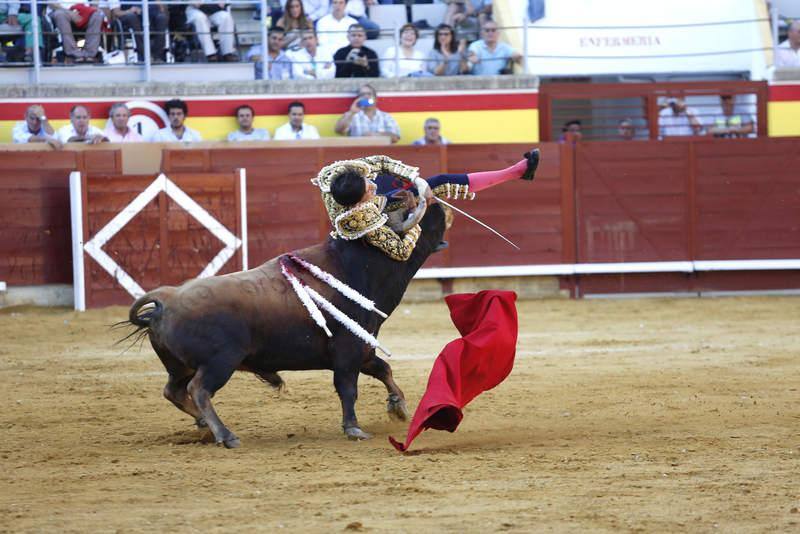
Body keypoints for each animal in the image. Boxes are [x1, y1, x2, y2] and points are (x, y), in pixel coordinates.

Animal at [128, 203, 446, 450]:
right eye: (413, 215)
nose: (439, 207)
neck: (357, 267)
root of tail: (166, 301)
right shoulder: (348, 351)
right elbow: (348, 388)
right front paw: (354, 428)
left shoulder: (363, 348)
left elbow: (384, 370)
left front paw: (398, 407)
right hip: (220, 362)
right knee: (199, 390)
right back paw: (225, 434)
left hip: (179, 366)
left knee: (173, 391)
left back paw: (204, 424)